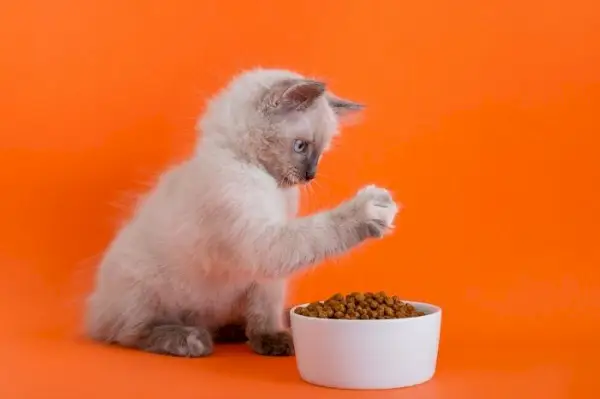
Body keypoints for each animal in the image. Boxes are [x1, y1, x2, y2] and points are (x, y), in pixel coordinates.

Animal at [84, 67, 400, 358]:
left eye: (320, 153)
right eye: (301, 146)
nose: (310, 175)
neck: (268, 183)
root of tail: (94, 309)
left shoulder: (266, 278)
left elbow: (265, 311)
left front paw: (272, 339)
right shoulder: (262, 241)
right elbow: (322, 230)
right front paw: (372, 208)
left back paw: (234, 330)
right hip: (143, 285)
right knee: (130, 333)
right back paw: (189, 339)